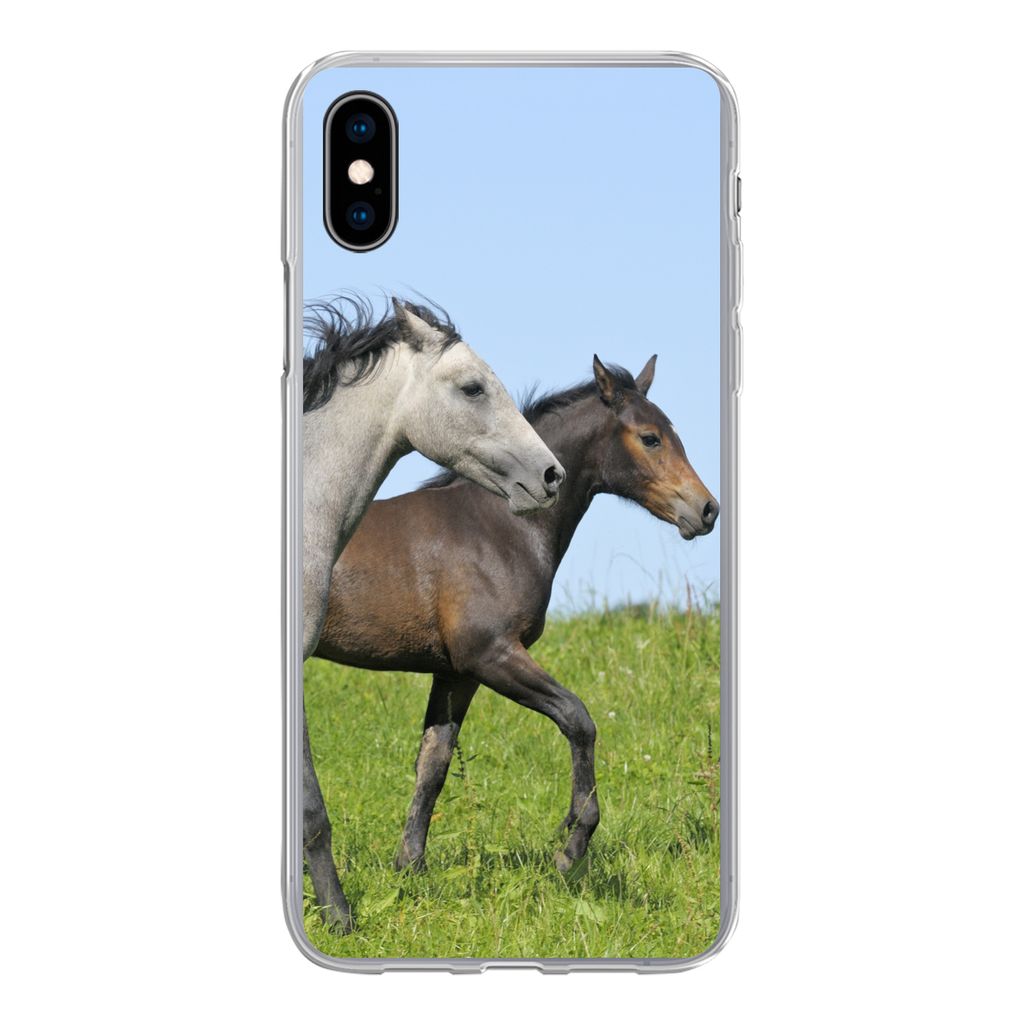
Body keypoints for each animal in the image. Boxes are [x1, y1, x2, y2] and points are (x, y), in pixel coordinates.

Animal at [310, 354, 718, 887]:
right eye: (650, 437)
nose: (706, 509)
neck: (497, 527)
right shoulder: (491, 654)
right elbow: (578, 719)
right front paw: (572, 846)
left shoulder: (456, 673)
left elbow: (434, 763)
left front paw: (411, 869)